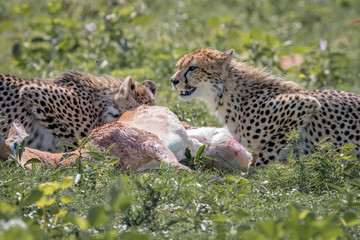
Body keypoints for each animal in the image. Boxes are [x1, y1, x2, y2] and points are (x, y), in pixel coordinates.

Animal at [171, 47, 360, 166]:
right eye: (179, 66)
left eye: (193, 68)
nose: (173, 80)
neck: (226, 93)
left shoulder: (303, 105)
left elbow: (267, 153)